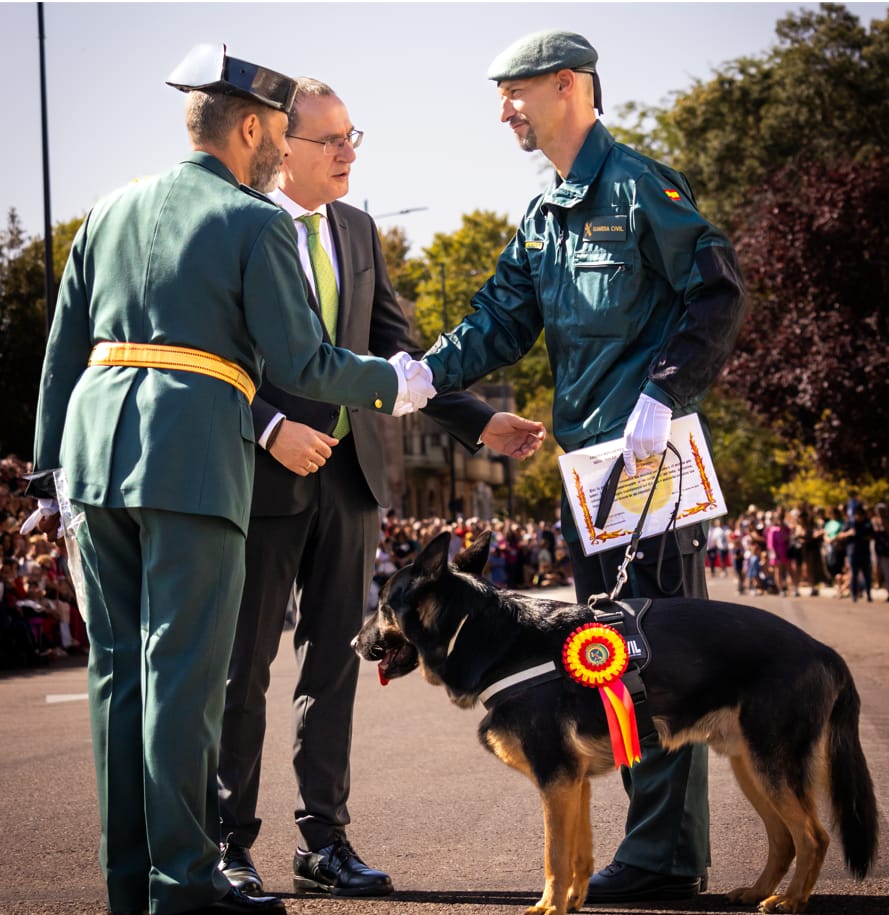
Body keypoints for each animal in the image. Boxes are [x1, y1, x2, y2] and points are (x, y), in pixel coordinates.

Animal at [352, 528, 876, 915]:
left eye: (382, 606)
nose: (355, 644)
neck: (479, 630)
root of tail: (823, 650)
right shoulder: (572, 782)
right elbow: (577, 853)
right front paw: (572, 902)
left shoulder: (556, 777)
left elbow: (554, 853)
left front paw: (548, 906)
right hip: (752, 767)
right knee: (784, 838)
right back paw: (760, 891)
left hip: (772, 767)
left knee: (813, 836)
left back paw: (790, 900)